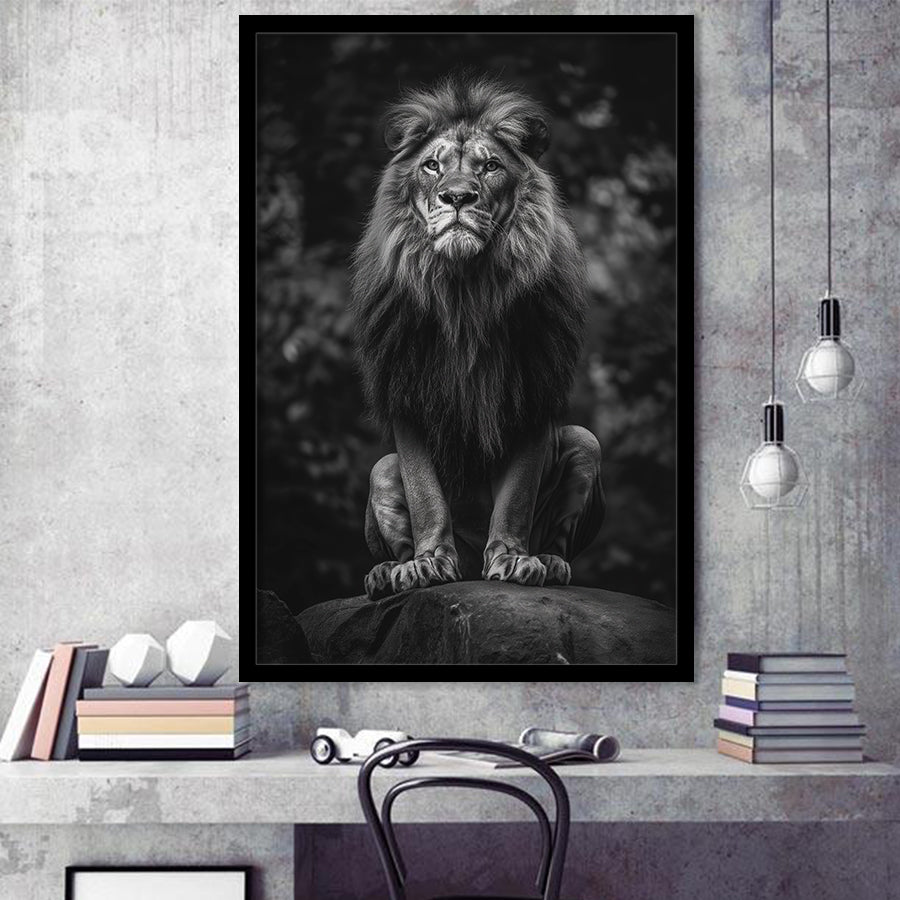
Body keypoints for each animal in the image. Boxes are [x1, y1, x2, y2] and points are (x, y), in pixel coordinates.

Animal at [352, 76, 605, 600]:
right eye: (432, 165)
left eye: (490, 167)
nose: (457, 198)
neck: (465, 289)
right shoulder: (406, 392)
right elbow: (425, 495)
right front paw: (428, 563)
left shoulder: (533, 393)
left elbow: (516, 497)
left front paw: (513, 559)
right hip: (381, 470)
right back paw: (388, 573)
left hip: (585, 442)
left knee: (561, 537)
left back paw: (550, 562)